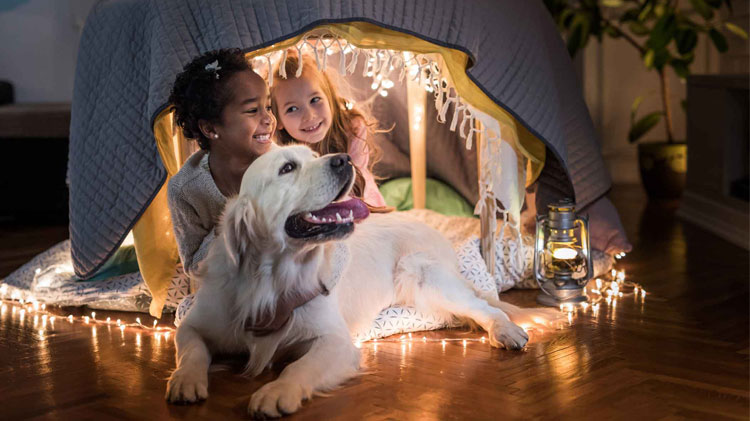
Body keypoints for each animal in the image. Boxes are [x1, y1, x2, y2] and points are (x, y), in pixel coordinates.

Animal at [169, 143, 560, 416]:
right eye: (288, 168)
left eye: (314, 155)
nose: (343, 160)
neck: (271, 278)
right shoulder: (196, 322)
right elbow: (190, 349)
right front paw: (185, 380)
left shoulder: (334, 340)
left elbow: (299, 366)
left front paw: (276, 392)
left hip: (422, 273)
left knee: (485, 307)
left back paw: (506, 331)